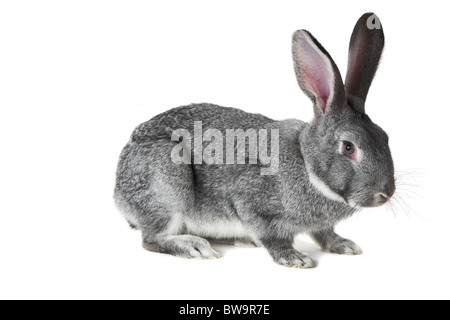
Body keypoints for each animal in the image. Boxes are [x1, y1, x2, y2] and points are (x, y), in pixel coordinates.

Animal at [114, 12, 396, 268]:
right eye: (348, 147)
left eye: (385, 137)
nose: (386, 193)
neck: (307, 164)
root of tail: (118, 193)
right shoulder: (251, 204)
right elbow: (272, 236)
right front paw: (294, 258)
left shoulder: (319, 224)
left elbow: (323, 233)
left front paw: (343, 244)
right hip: (167, 183)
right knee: (152, 238)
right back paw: (194, 247)